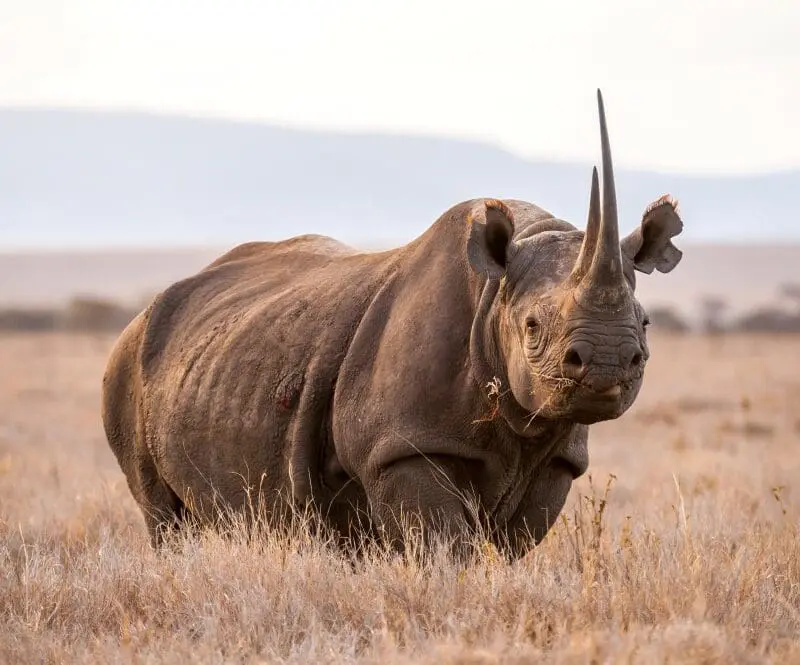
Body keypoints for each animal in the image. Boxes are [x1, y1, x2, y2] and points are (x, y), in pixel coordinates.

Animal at [101, 90, 684, 558]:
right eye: (533, 326)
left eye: (646, 324)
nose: (607, 364)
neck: (495, 295)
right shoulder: (404, 445)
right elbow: (449, 547)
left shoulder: (558, 457)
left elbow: (510, 544)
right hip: (128, 361)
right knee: (162, 515)